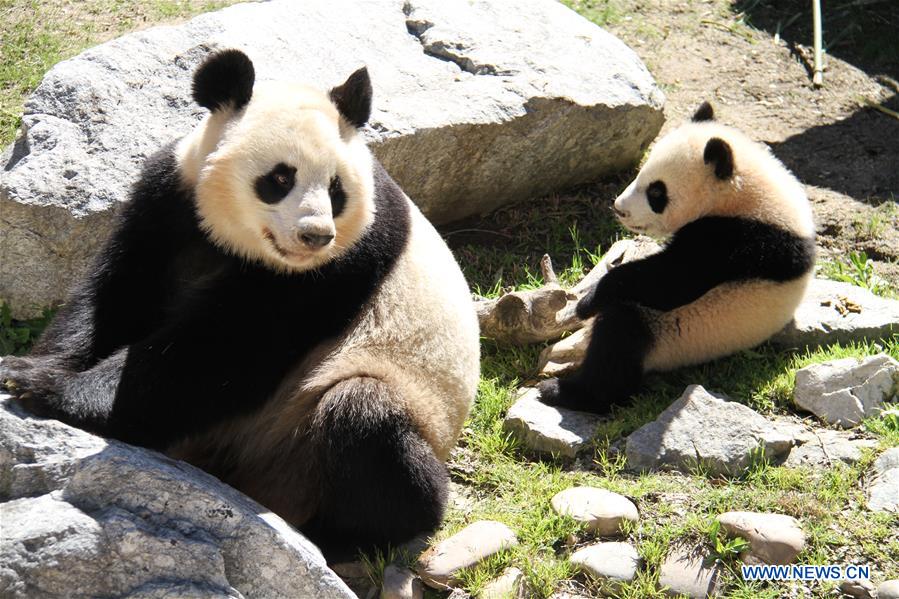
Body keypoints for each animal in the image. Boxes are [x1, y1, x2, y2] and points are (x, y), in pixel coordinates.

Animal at [0, 49, 480, 558]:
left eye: (337, 189)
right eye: (280, 178)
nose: (315, 235)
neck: (239, 246)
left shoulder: (340, 266)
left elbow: (220, 353)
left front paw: (49, 388)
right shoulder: (170, 198)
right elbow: (117, 295)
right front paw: (31, 368)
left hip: (328, 427)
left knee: (365, 416)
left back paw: (350, 533)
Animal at [538, 102, 815, 414]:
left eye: (657, 192)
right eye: (641, 175)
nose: (620, 209)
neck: (747, 196)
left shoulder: (736, 239)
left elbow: (671, 282)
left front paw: (587, 303)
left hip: (678, 335)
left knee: (619, 338)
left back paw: (563, 391)